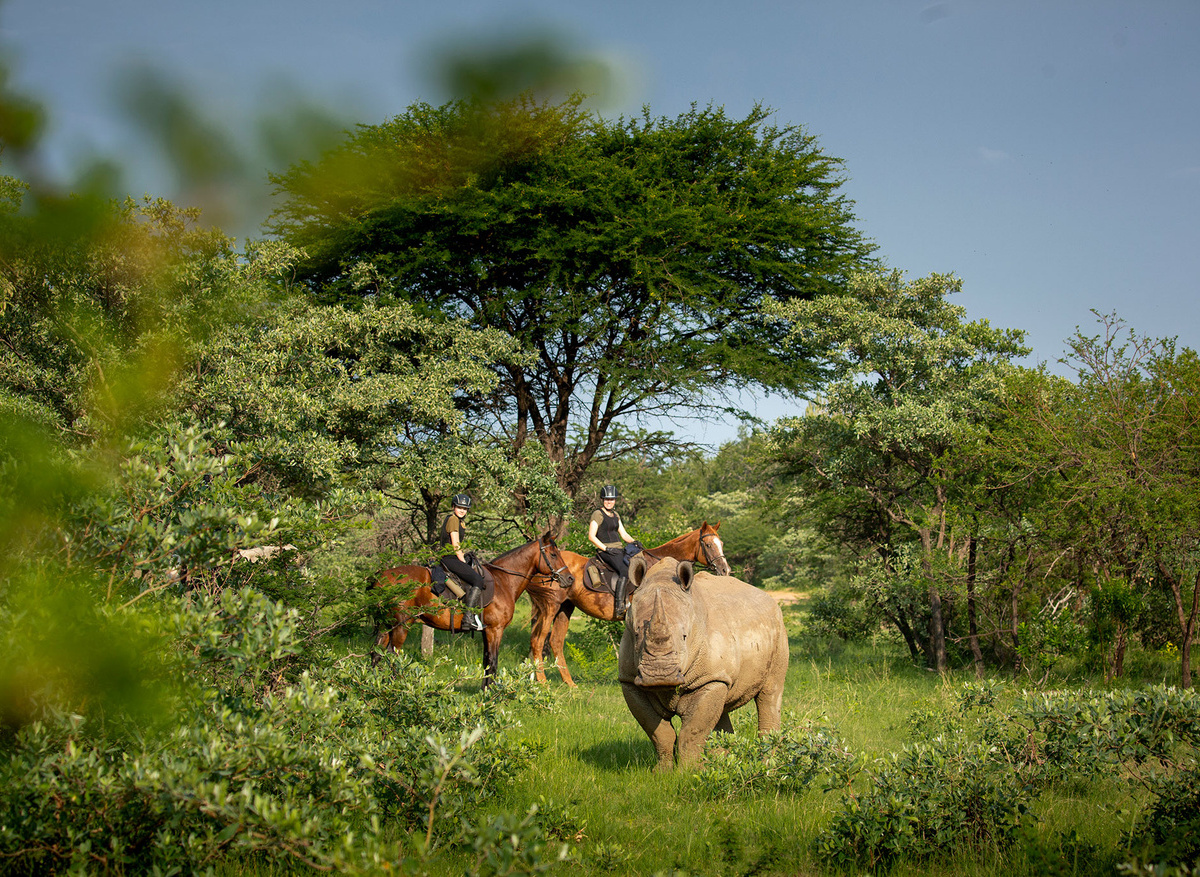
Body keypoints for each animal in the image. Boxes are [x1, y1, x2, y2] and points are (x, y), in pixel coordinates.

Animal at [372, 531, 573, 684]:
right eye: (553, 555)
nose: (570, 578)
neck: (503, 581)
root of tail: (382, 577)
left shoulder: (486, 631)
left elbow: (486, 663)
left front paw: (484, 692)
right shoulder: (495, 630)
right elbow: (493, 663)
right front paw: (490, 696)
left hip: (386, 626)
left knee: (377, 655)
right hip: (401, 626)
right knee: (392, 656)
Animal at [528, 521, 730, 687]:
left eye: (721, 544)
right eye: (709, 545)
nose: (725, 570)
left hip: (565, 608)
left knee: (554, 642)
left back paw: (567, 684)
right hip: (551, 606)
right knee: (538, 641)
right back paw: (541, 682)